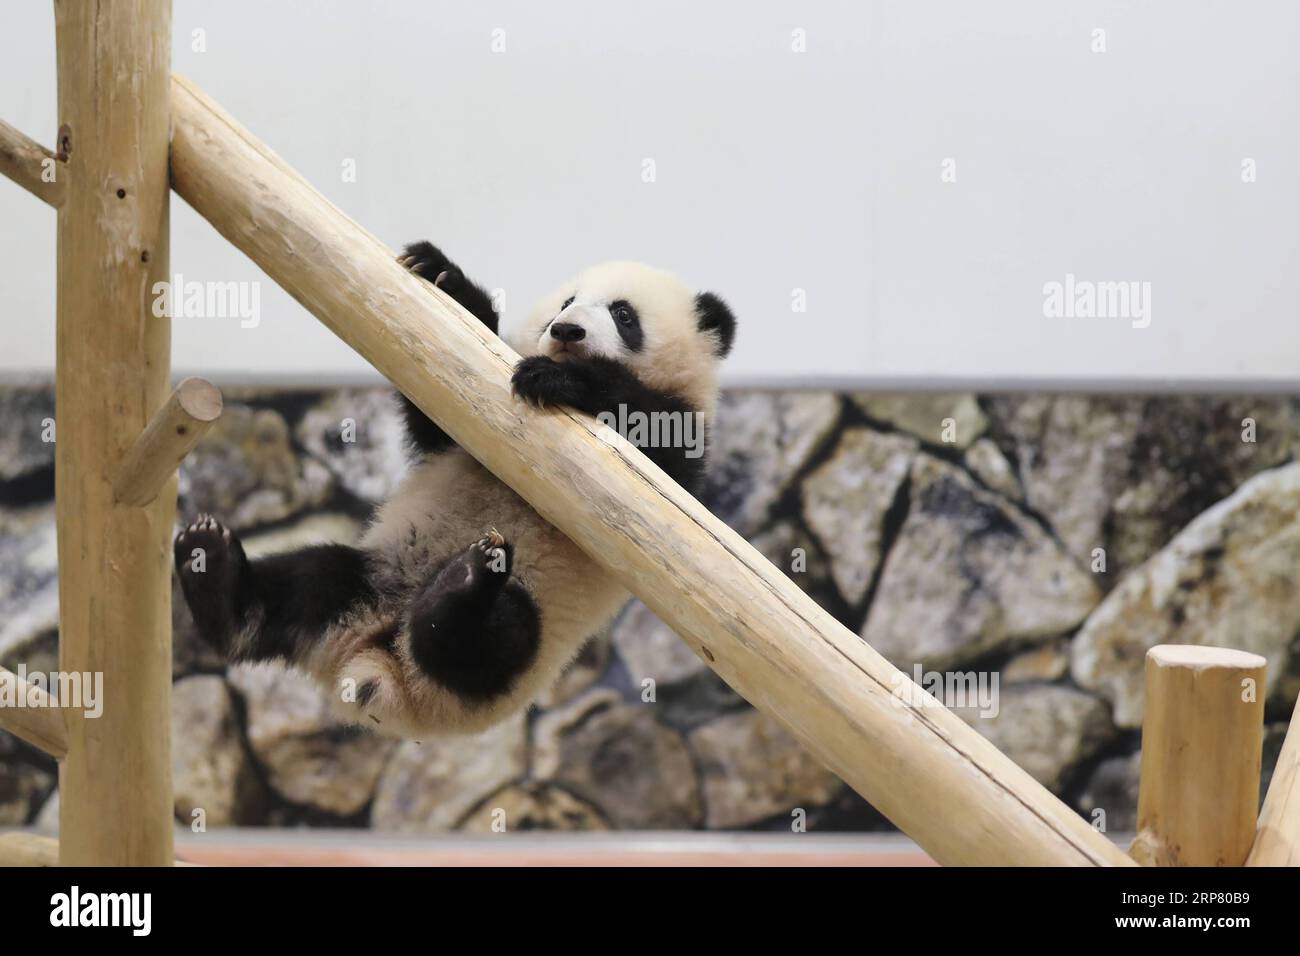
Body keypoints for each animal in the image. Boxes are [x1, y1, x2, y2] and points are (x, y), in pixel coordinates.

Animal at [174, 241, 737, 737]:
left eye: (624, 314)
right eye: (566, 302)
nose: (566, 330)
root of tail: (382, 668)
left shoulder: (676, 460)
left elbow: (651, 449)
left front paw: (560, 378)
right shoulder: (468, 427)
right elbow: (442, 418)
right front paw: (446, 276)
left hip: (515, 665)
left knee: (492, 639)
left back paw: (461, 587)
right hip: (373, 577)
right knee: (312, 581)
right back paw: (216, 576)